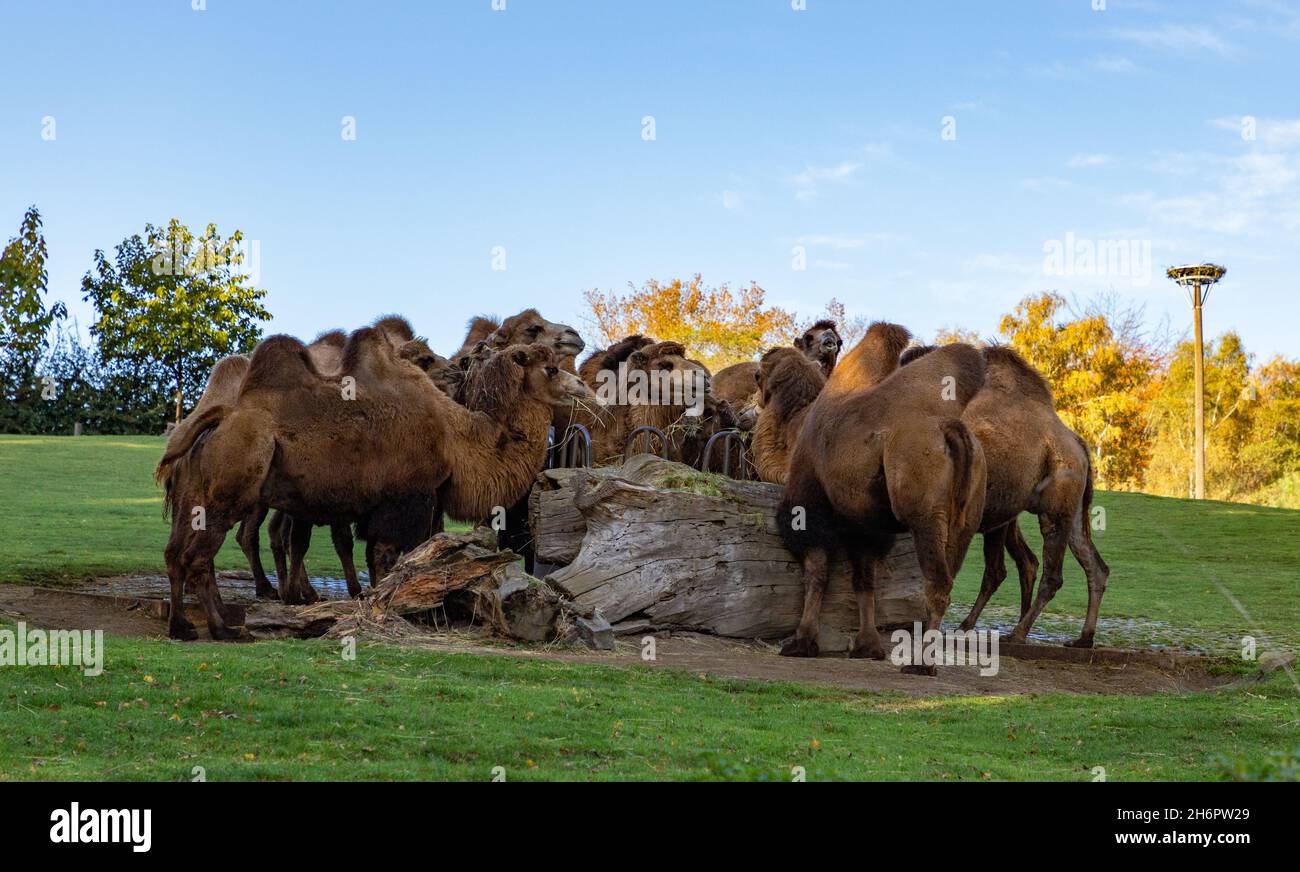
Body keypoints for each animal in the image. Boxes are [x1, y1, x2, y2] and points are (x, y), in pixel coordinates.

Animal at [156, 328, 595, 641]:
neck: (458, 438)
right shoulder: (406, 499)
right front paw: (399, 612)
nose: (585, 388)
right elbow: (389, 559)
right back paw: (222, 629)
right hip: (230, 489)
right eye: (550, 368)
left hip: (195, 495)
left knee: (176, 553)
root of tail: (215, 417)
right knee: (198, 557)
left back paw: (183, 627)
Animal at [769, 340, 982, 675]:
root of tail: (949, 428)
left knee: (937, 581)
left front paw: (801, 642)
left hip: (924, 513)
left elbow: (817, 570)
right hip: (967, 522)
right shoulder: (867, 526)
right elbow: (864, 579)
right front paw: (867, 647)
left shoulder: (808, 503)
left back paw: (920, 664)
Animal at [904, 345, 1107, 644]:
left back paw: (1016, 632)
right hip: (1069, 509)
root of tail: (1078, 443)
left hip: (1056, 503)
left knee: (1046, 573)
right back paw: (1082, 638)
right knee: (1092, 563)